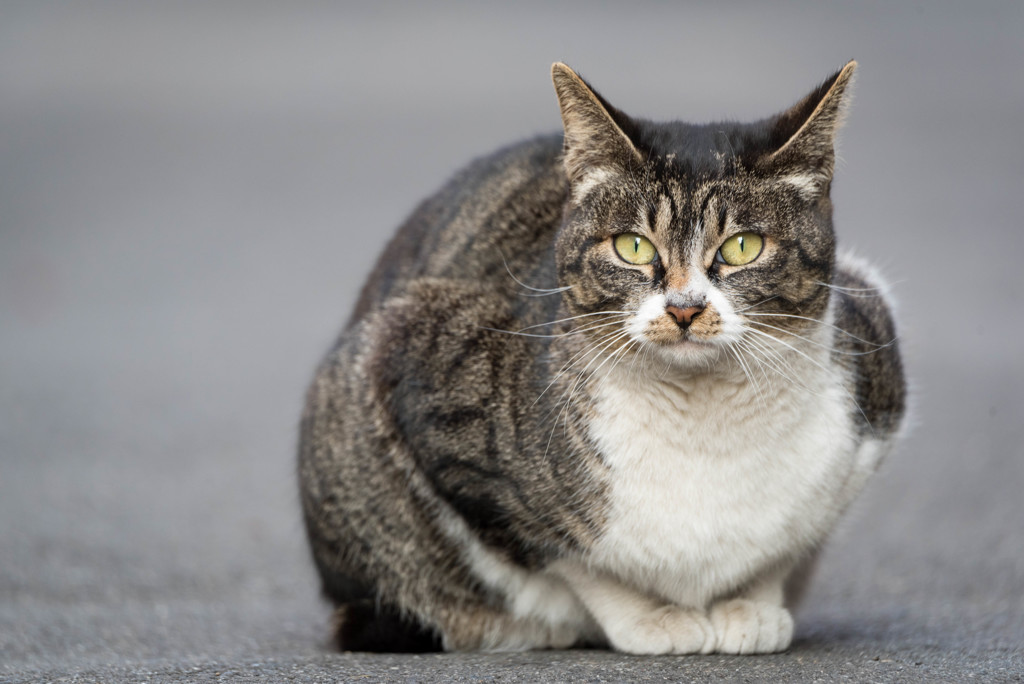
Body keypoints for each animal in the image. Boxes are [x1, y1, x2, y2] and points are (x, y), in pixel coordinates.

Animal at [296, 61, 905, 655]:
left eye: (743, 247)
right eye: (633, 246)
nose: (685, 308)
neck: (703, 423)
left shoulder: (875, 357)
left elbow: (784, 549)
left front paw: (751, 608)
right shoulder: (425, 366)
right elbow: (568, 556)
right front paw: (653, 619)